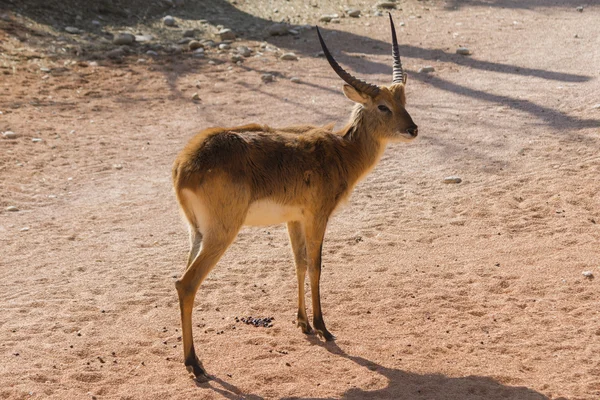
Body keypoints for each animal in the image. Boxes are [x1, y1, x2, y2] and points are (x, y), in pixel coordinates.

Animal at [172, 14, 418, 378]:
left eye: (404, 101)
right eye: (383, 105)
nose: (412, 129)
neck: (341, 150)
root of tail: (185, 165)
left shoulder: (293, 219)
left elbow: (298, 263)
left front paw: (303, 323)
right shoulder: (318, 215)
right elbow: (316, 265)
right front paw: (323, 327)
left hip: (197, 233)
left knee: (181, 280)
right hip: (221, 233)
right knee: (186, 284)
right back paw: (195, 365)